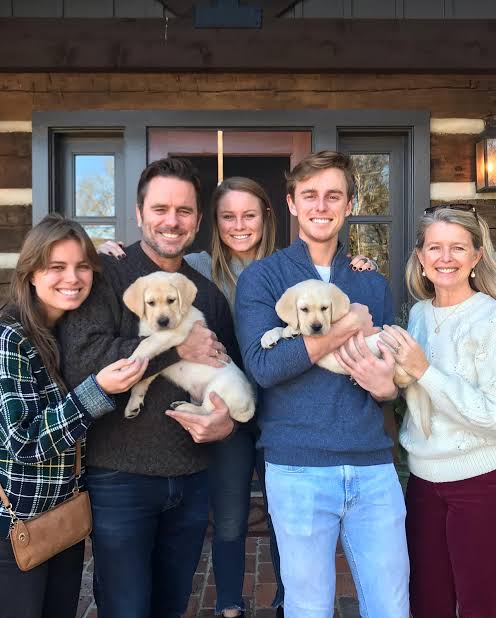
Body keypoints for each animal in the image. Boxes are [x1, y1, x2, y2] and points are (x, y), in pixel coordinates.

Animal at [121, 272, 256, 422]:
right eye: (150, 303)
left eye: (171, 300)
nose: (163, 322)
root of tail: (250, 402)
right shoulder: (159, 356)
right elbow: (144, 377)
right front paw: (133, 403)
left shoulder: (172, 334)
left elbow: (147, 343)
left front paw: (130, 362)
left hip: (216, 390)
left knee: (206, 411)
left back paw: (184, 408)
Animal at [262, 278, 412, 384]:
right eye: (304, 309)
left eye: (324, 308)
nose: (316, 327)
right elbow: (279, 328)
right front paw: (269, 336)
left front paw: (291, 329)